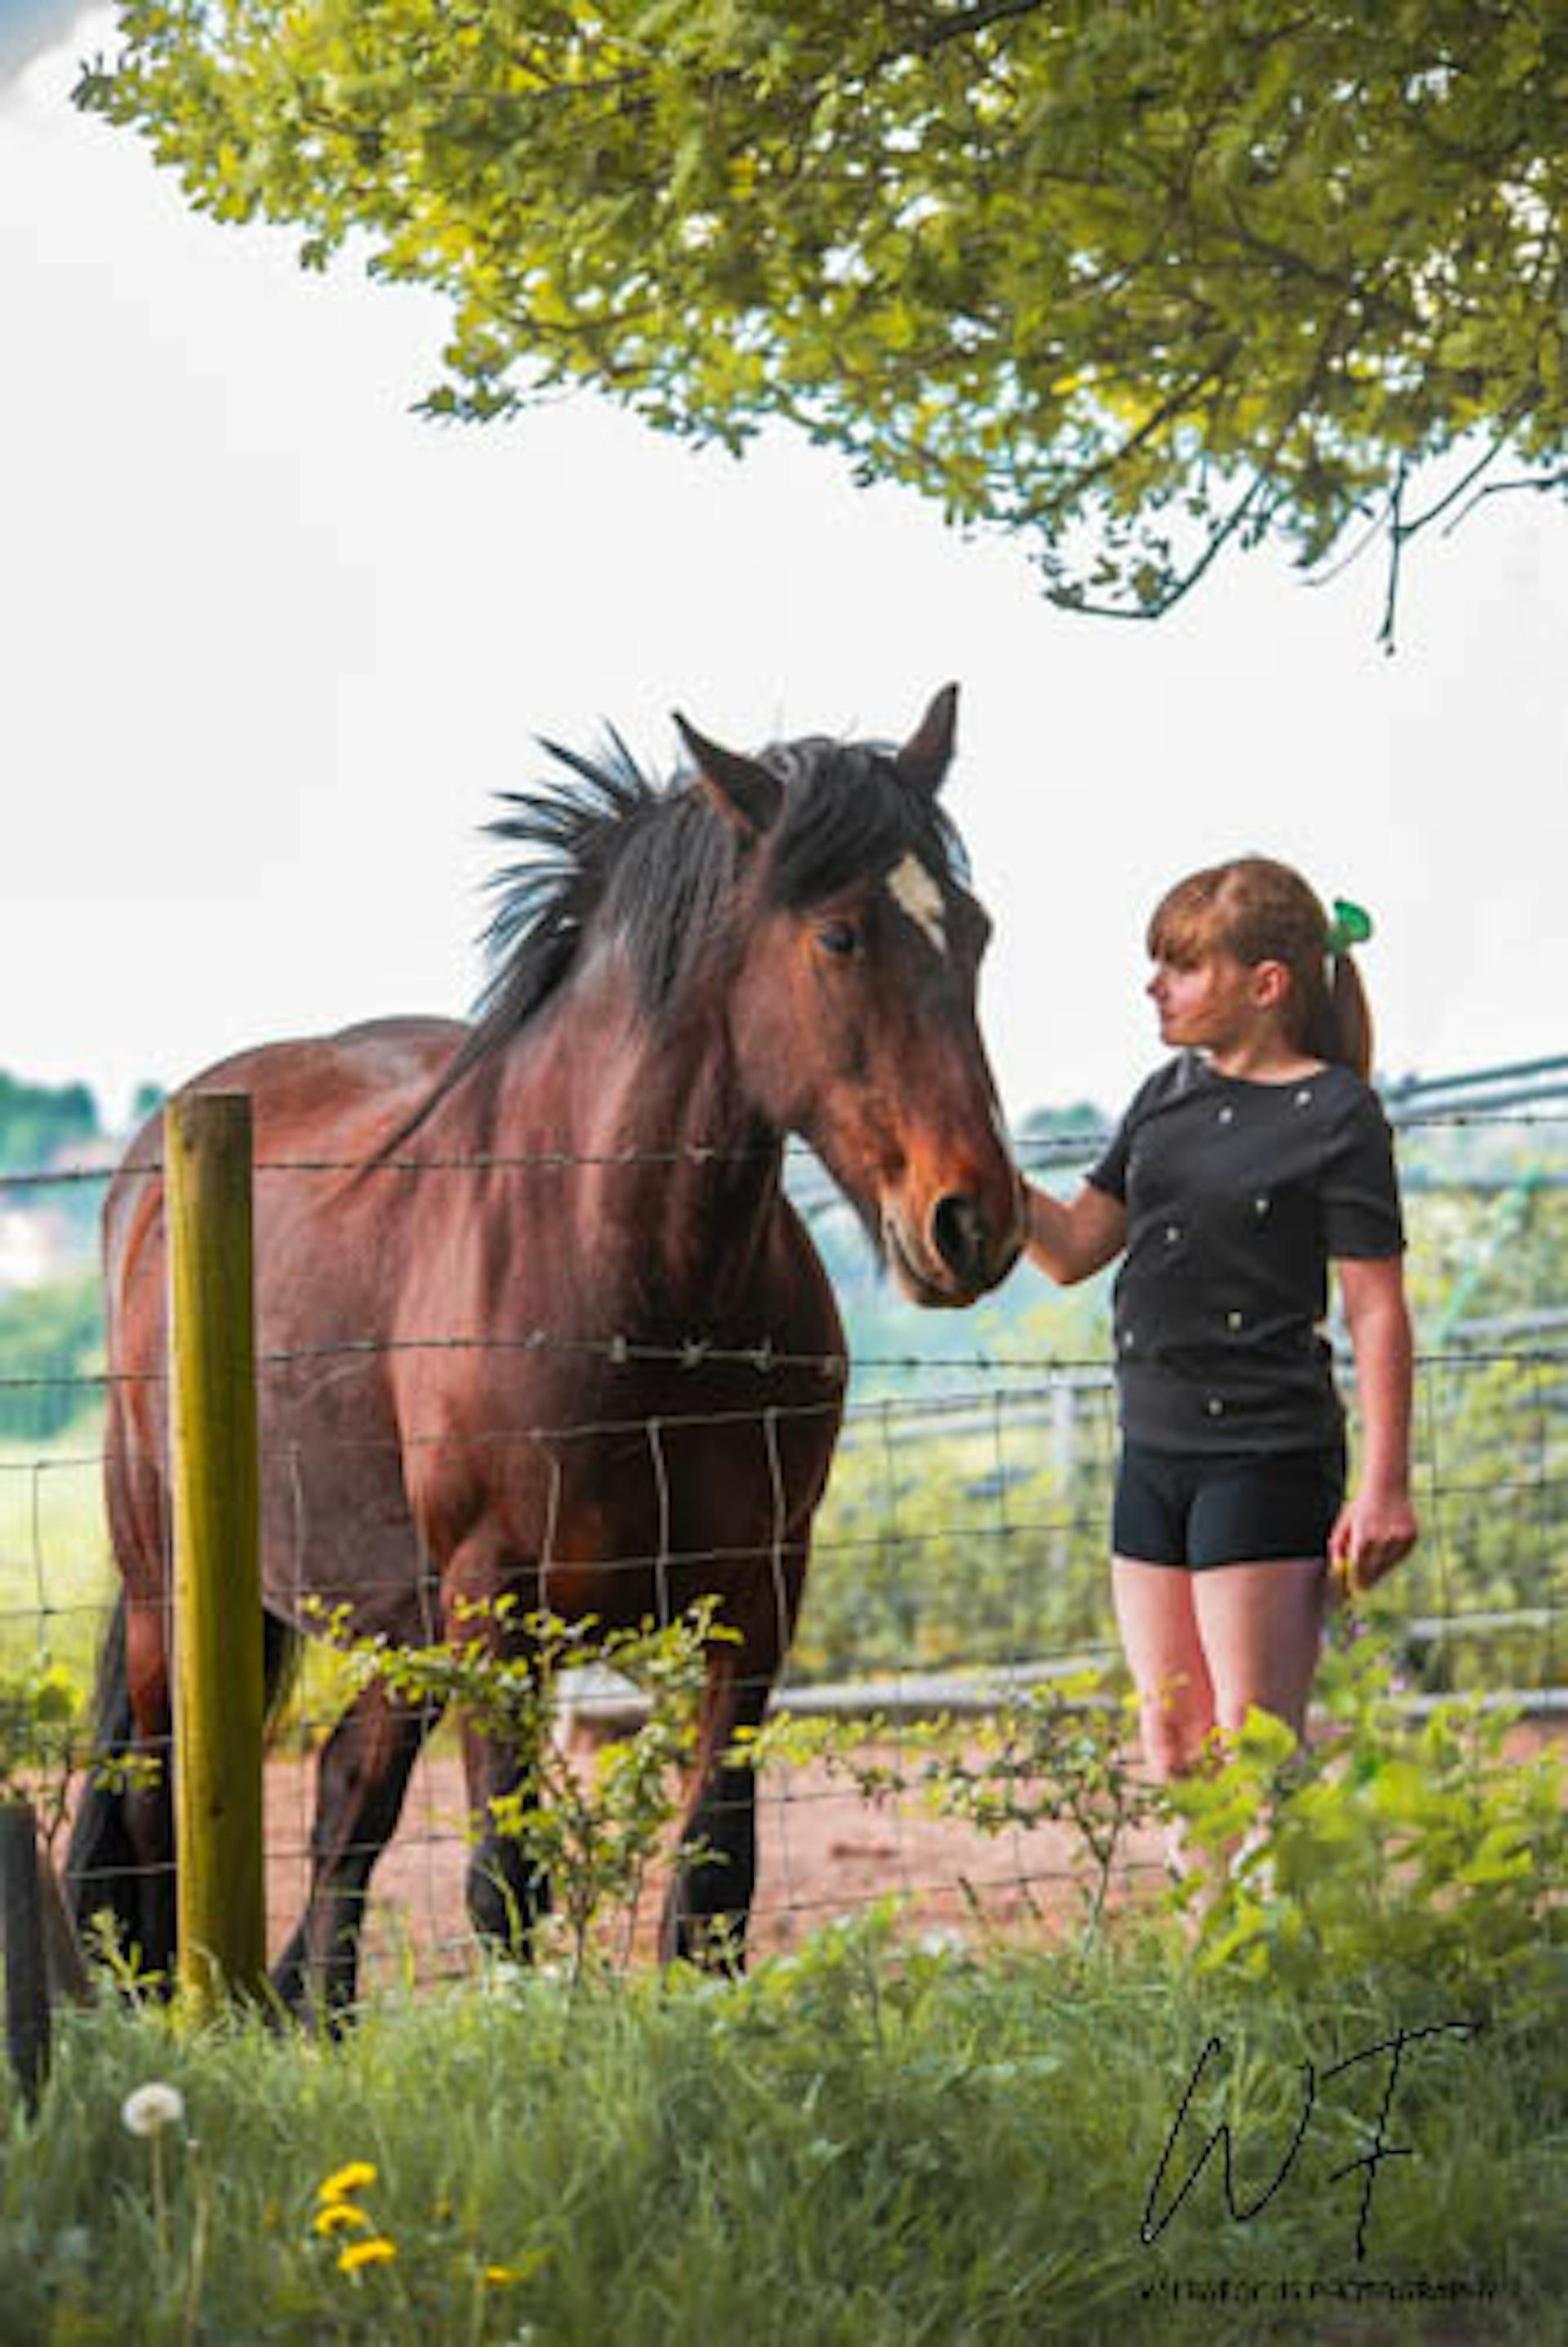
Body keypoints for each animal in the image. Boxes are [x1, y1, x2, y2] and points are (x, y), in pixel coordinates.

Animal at [66, 684, 1022, 2015]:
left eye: (972, 930)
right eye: (839, 937)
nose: (972, 1220)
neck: (630, 1283)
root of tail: (154, 1166)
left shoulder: (759, 1592)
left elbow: (715, 1872)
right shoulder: (497, 1602)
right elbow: (505, 1883)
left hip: (398, 1616)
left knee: (346, 1799)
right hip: (178, 1598)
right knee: (161, 1806)